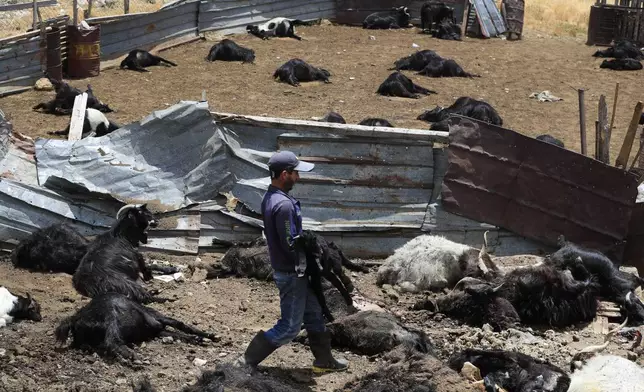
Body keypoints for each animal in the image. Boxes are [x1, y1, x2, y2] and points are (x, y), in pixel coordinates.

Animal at [55, 292, 216, 360]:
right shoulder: (158, 319)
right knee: (111, 341)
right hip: (111, 318)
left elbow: (178, 333)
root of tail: (75, 319)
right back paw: (134, 358)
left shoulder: (157, 331)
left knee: (91, 344)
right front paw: (209, 336)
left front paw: (199, 338)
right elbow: (181, 324)